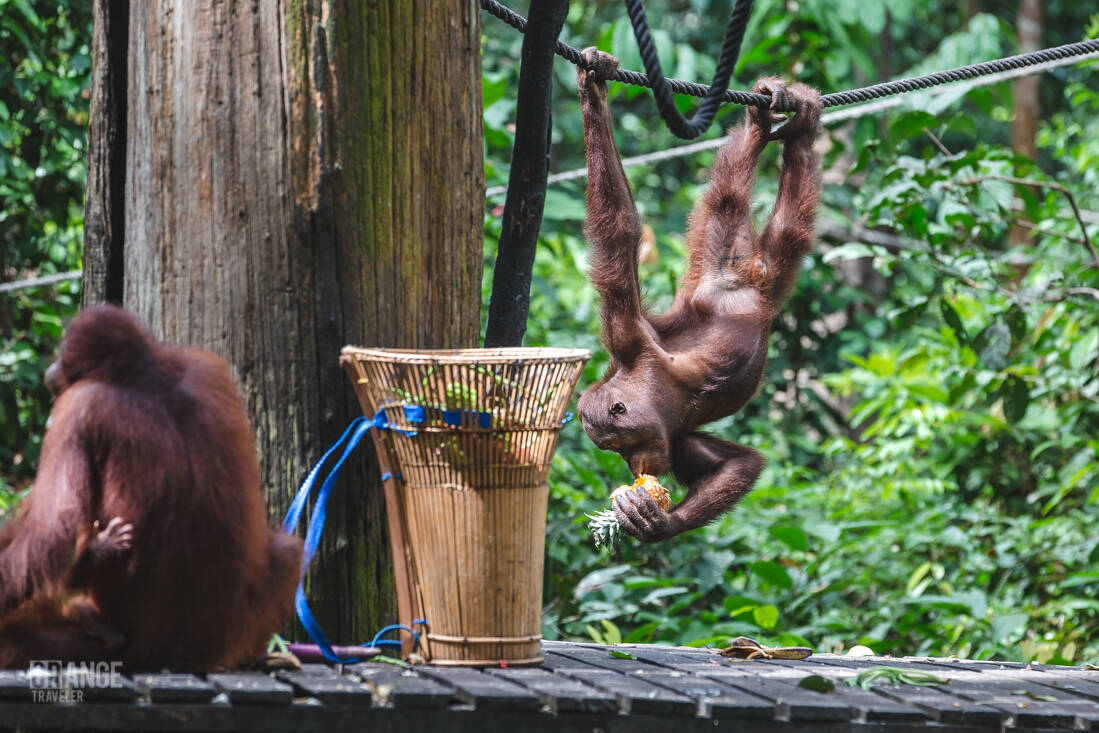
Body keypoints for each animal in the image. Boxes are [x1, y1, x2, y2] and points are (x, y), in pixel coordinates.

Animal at [575, 48, 822, 542]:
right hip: (753, 270)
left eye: (620, 445)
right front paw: (653, 521)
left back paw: (765, 121)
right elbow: (738, 465)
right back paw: (791, 125)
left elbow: (619, 235)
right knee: (782, 227)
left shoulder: (630, 337)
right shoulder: (677, 437)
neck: (652, 391)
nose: (633, 466)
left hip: (723, 260)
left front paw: (594, 87)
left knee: (730, 197)